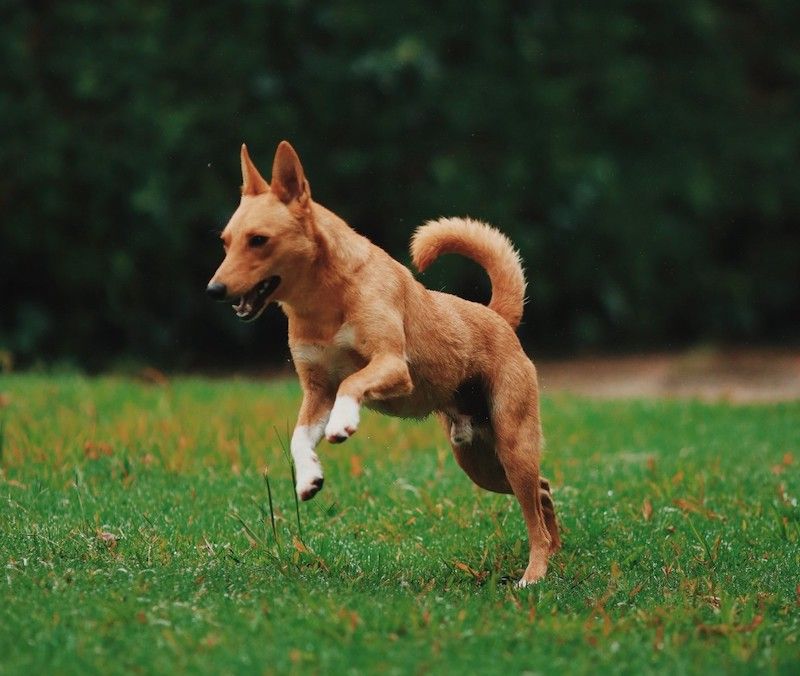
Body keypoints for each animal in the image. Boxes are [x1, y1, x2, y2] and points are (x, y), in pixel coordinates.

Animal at [209, 140, 560, 584]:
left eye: (259, 240)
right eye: (225, 242)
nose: (213, 289)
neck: (324, 303)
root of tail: (495, 316)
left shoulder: (391, 365)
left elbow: (352, 383)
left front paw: (343, 423)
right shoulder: (316, 391)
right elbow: (299, 436)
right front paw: (308, 477)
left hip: (513, 444)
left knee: (534, 511)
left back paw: (534, 574)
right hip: (478, 461)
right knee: (543, 492)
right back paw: (556, 553)